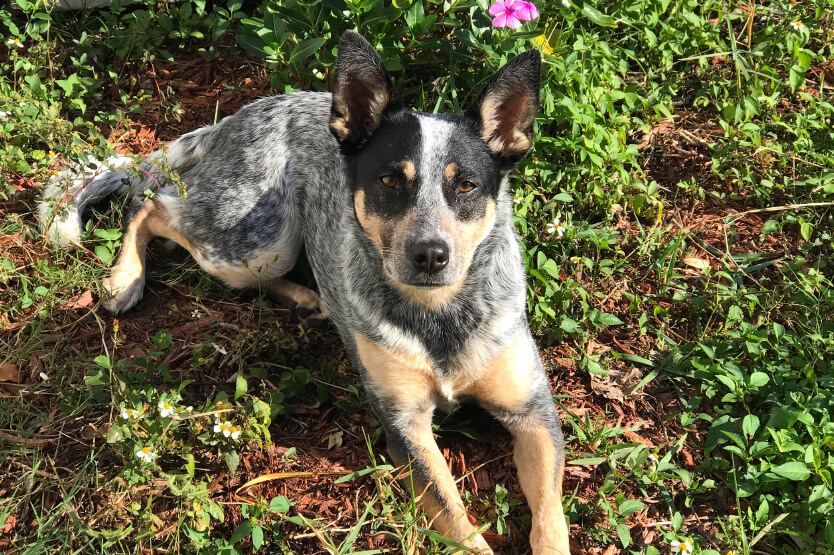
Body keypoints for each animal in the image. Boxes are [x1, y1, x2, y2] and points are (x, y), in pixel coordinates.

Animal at [40, 31, 572, 555]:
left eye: (465, 186)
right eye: (389, 180)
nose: (429, 253)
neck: (439, 314)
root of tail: (237, 117)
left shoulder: (535, 415)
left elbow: (551, 516)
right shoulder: (405, 425)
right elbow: (457, 519)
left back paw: (307, 301)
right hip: (255, 239)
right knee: (152, 202)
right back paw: (124, 278)